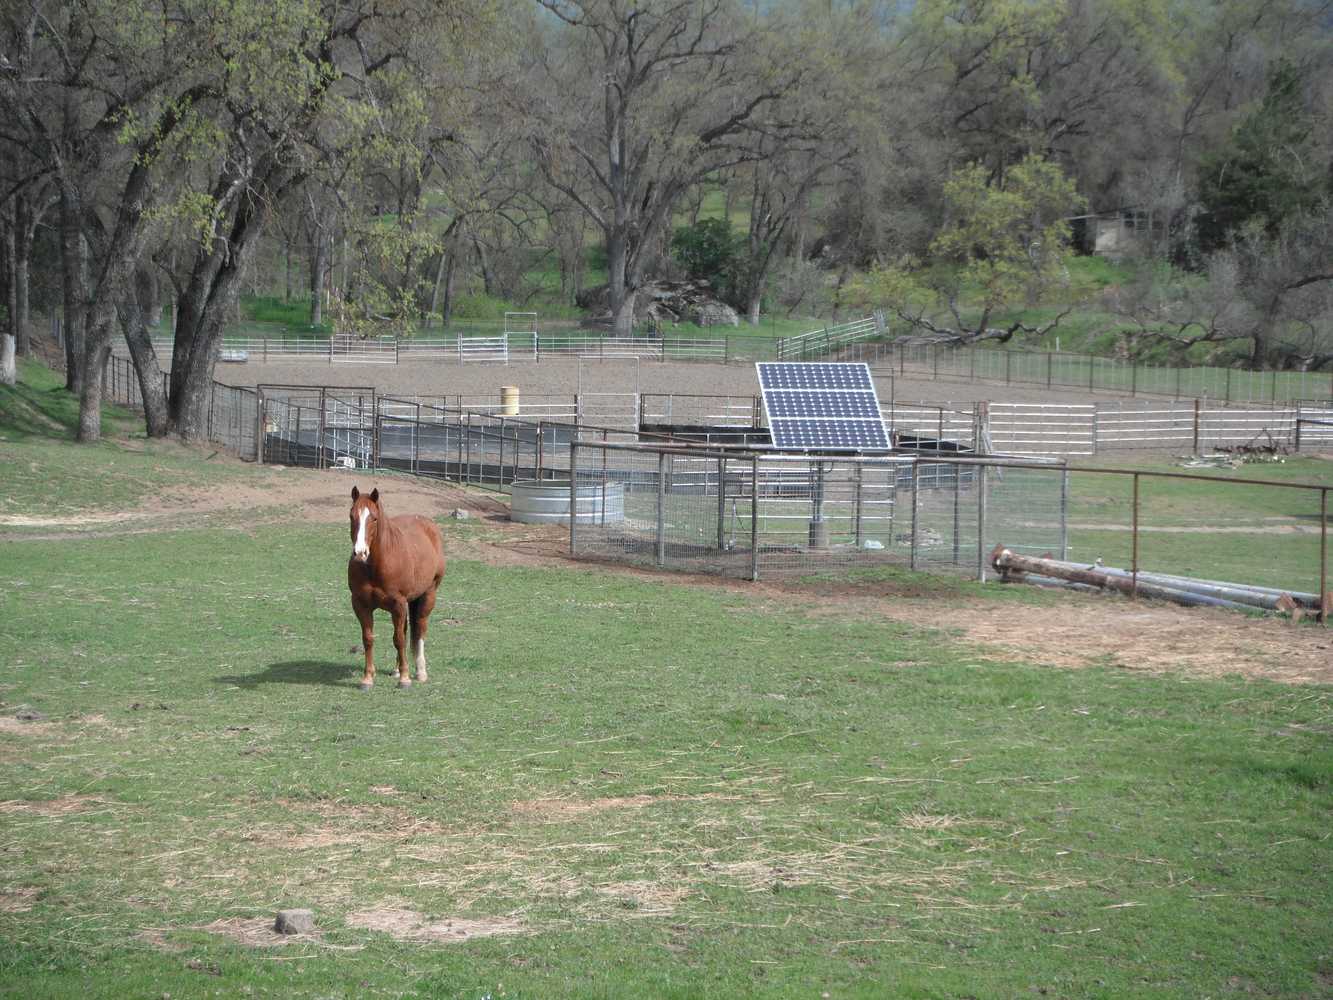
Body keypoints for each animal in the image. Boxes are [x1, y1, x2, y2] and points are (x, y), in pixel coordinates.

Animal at [346, 490, 445, 693]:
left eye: (374, 518)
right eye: (352, 516)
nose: (360, 553)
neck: (376, 565)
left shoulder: (398, 604)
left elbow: (399, 639)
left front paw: (405, 679)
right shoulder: (360, 605)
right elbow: (368, 639)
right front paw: (367, 678)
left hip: (427, 596)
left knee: (419, 629)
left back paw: (420, 672)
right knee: (407, 631)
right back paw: (397, 670)